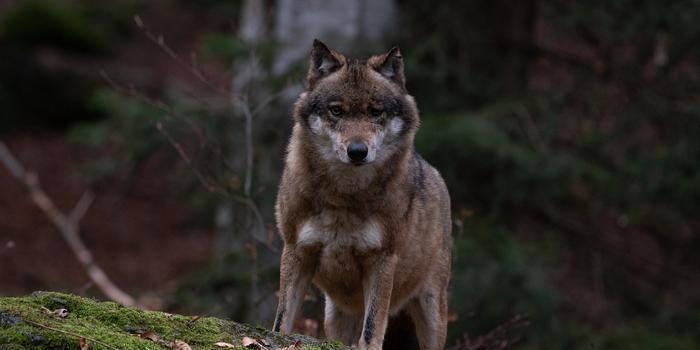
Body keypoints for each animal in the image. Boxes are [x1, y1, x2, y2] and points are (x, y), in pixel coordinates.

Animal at [270, 39, 452, 350]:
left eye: (375, 112)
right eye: (337, 111)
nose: (357, 151)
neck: (343, 197)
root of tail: (436, 174)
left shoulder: (382, 259)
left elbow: (372, 327)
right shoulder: (296, 250)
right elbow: (282, 319)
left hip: (432, 312)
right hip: (335, 317)